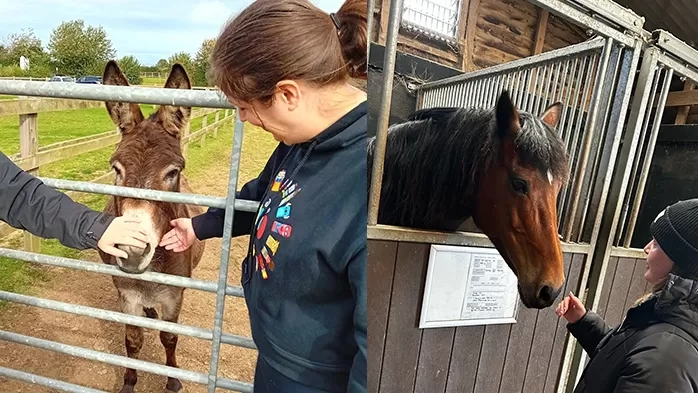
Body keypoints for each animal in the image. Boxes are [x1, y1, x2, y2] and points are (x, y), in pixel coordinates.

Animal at [98, 60, 207, 392]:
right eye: (116, 169)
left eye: (173, 172)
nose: (132, 252)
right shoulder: (127, 295)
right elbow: (133, 341)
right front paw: (129, 382)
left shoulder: (174, 298)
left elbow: (169, 338)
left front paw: (173, 379)